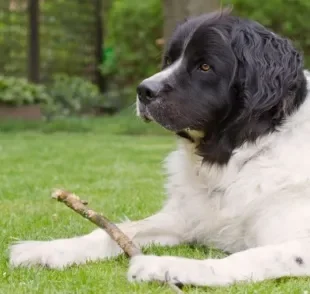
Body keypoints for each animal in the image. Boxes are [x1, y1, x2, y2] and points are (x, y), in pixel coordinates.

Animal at [9, 9, 310, 288]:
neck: (235, 158)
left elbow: (248, 258)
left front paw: (164, 266)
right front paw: (47, 249)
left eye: (205, 67)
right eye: (168, 60)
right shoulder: (183, 217)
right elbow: (118, 230)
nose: (144, 90)